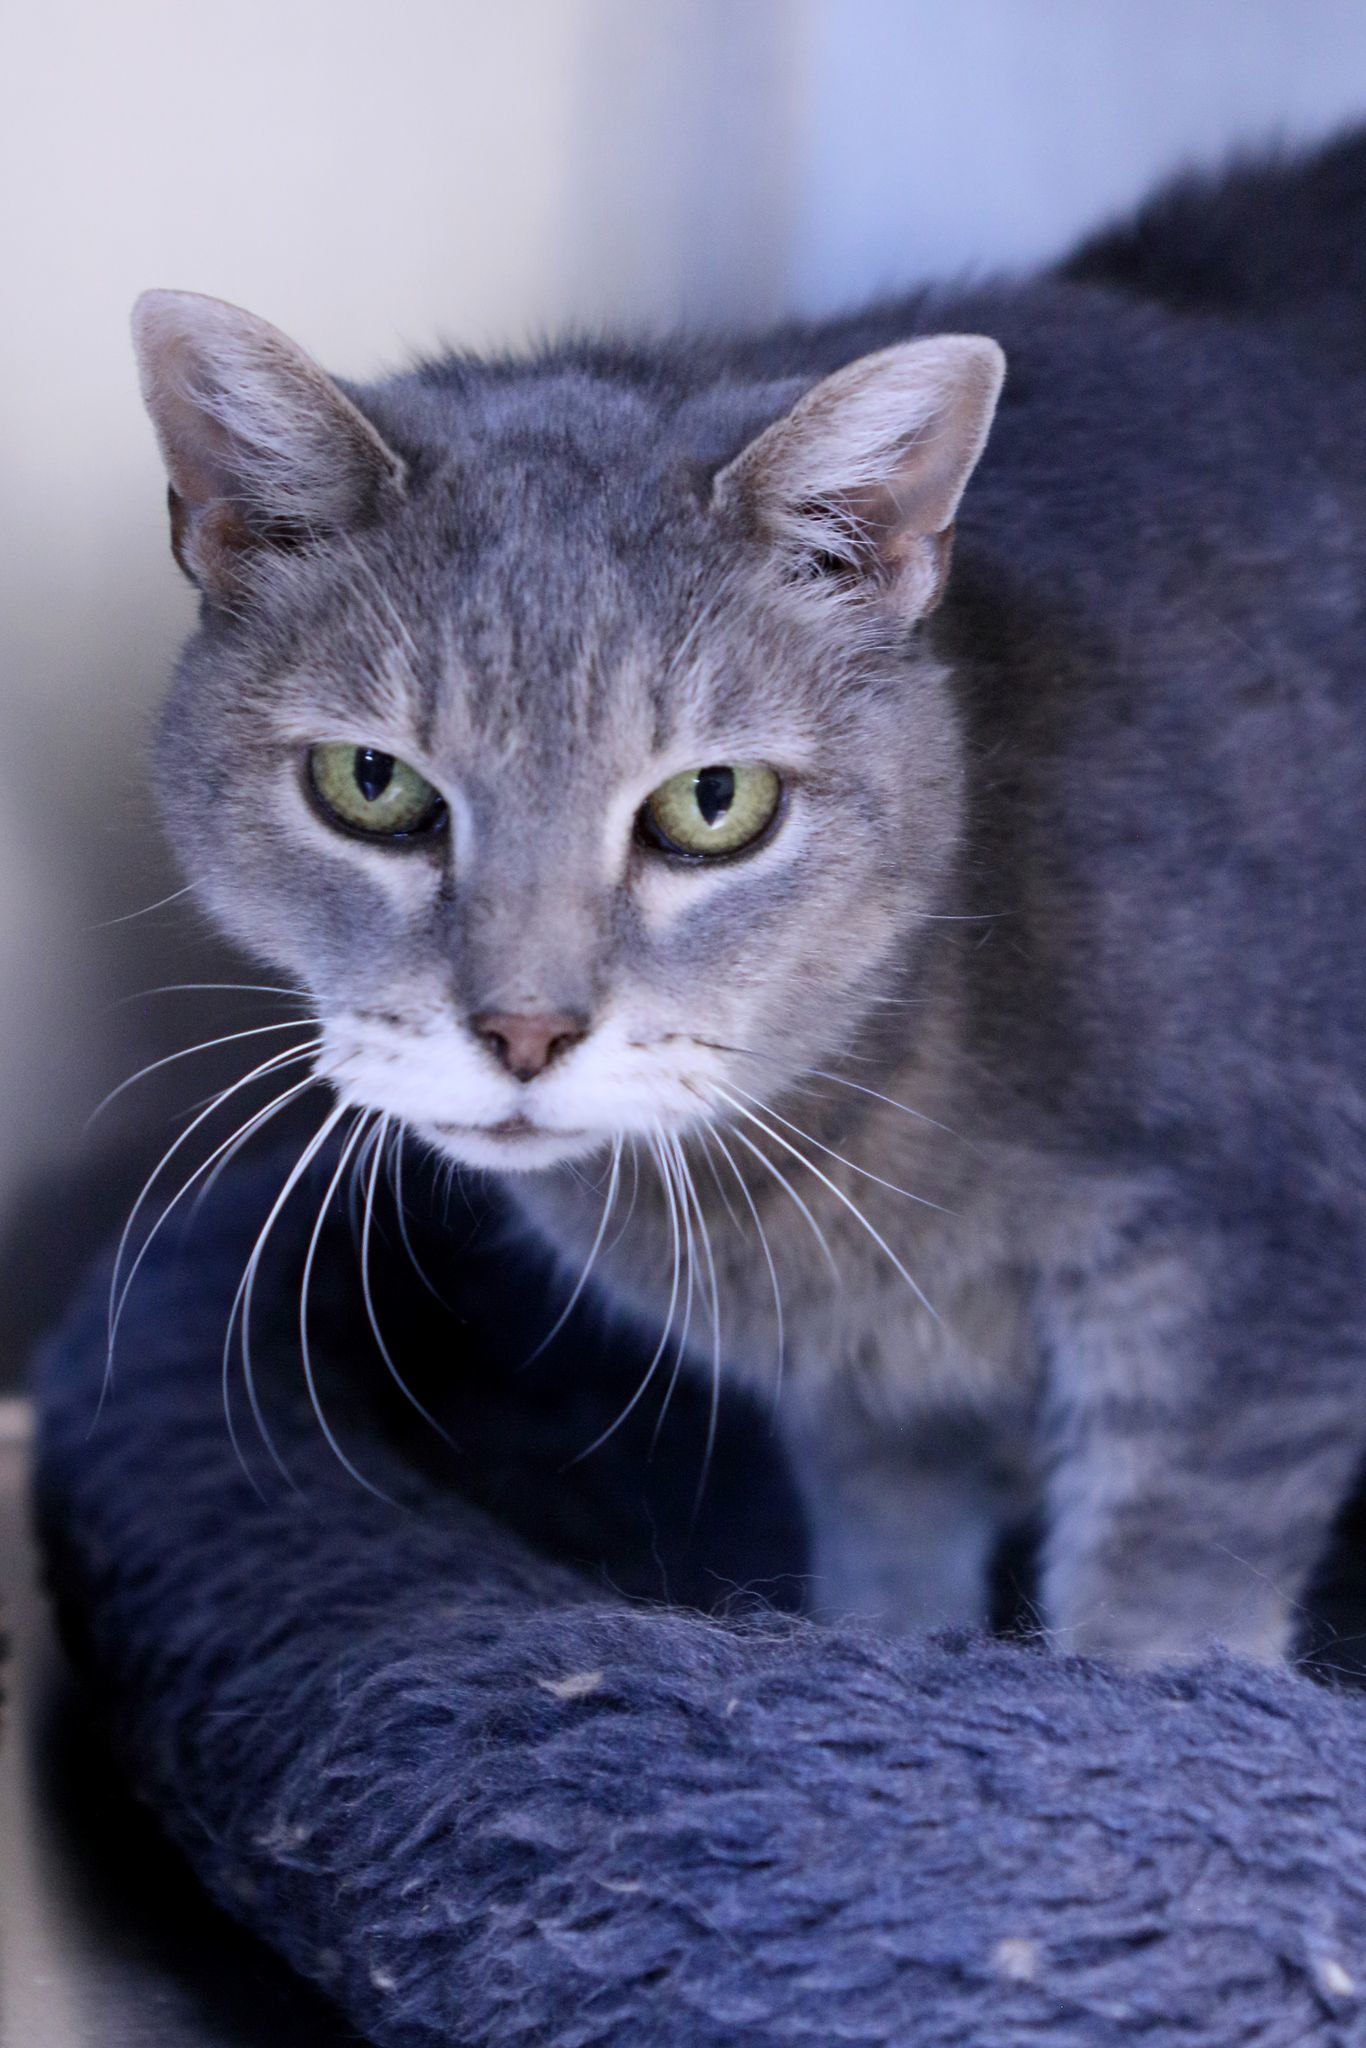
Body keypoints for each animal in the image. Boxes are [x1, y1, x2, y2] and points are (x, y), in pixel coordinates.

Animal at [133, 132, 1366, 1662]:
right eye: (370, 782)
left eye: (711, 804)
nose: (525, 1030)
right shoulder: (868, 1413)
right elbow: (891, 1585)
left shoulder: (1251, 1294)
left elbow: (1156, 1631)